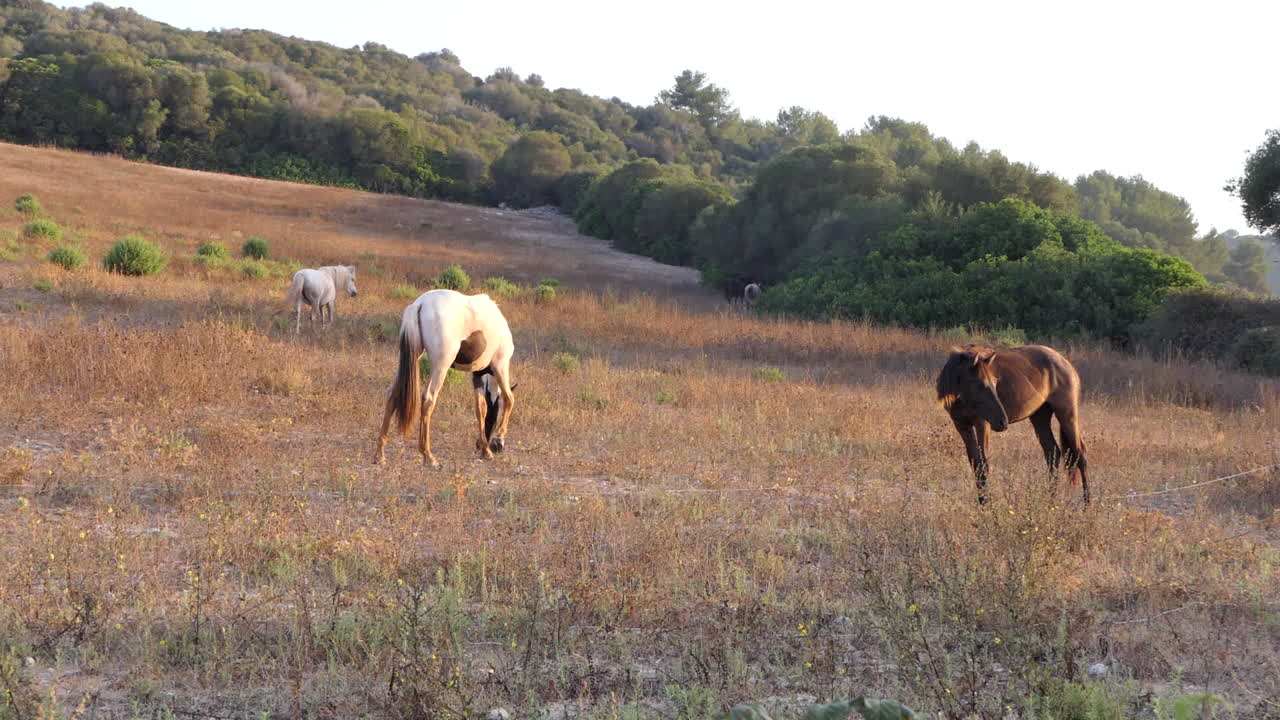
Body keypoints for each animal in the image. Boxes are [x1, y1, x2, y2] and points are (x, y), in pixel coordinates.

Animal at [373, 289, 516, 467]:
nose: (480, 445)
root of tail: (420, 304)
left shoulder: (476, 376)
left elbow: (480, 409)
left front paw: (485, 450)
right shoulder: (500, 366)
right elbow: (509, 399)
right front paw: (498, 439)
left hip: (408, 359)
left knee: (392, 395)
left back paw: (380, 455)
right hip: (441, 366)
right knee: (428, 400)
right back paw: (428, 456)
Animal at [936, 344, 1090, 504]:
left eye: (995, 383)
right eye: (979, 384)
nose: (1002, 421)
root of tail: (1066, 363)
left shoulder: (982, 423)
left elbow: (983, 463)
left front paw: (988, 504)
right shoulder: (962, 425)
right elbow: (976, 464)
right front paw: (982, 501)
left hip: (1067, 415)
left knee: (1080, 454)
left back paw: (1087, 504)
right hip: (1040, 417)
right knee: (1052, 453)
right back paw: (1050, 501)